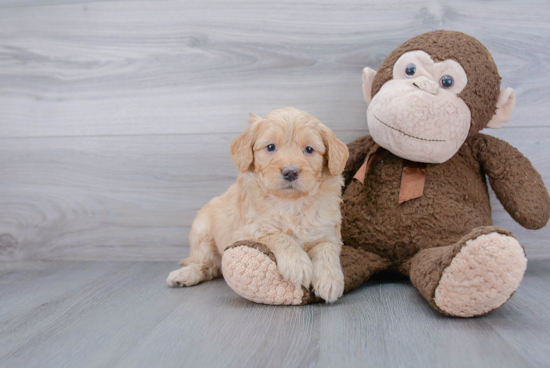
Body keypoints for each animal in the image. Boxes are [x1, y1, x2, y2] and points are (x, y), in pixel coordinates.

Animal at [166, 106, 352, 302]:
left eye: (309, 149)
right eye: (270, 147)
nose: (290, 172)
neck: (290, 203)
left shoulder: (327, 231)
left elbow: (326, 248)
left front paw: (330, 278)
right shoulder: (246, 231)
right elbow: (278, 236)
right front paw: (298, 264)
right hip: (202, 231)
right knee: (206, 265)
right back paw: (185, 274)